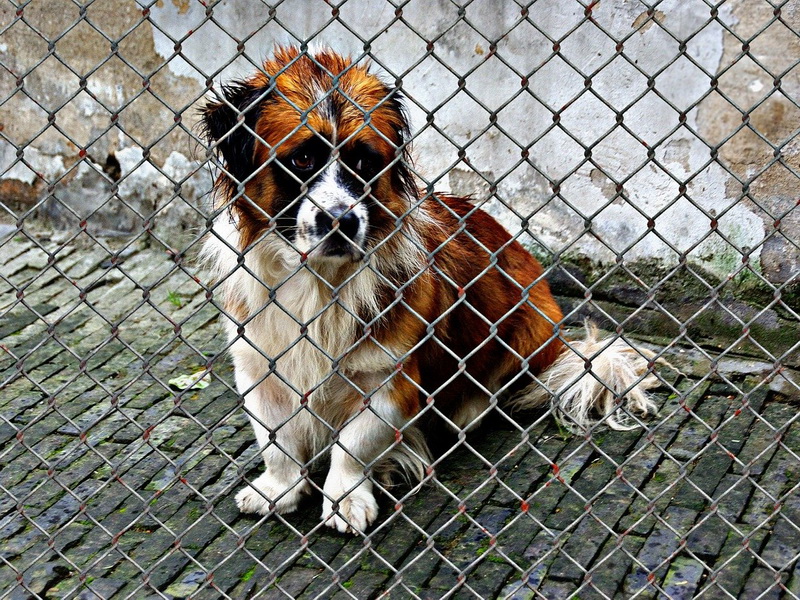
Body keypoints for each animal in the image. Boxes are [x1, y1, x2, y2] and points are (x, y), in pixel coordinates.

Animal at [198, 48, 656, 536]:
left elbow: (352, 445)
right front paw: (278, 489)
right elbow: (276, 441)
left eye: (364, 163)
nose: (342, 221)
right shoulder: (258, 370)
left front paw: (345, 498)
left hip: (528, 327)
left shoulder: (390, 381)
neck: (320, 284)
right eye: (302, 159)